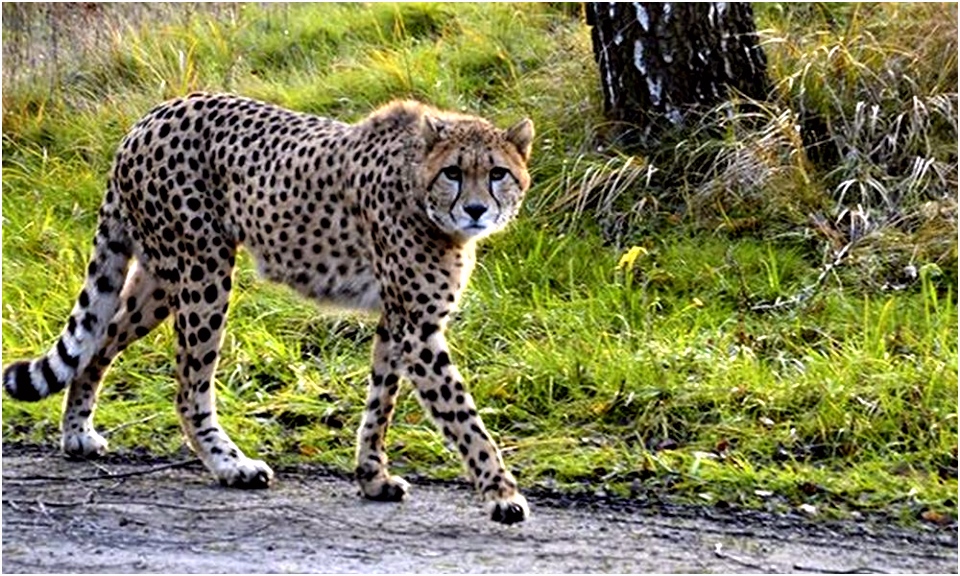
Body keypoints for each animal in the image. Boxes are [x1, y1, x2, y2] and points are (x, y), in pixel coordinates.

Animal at [3, 92, 534, 524]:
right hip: (203, 270)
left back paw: (76, 434)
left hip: (158, 278)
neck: (417, 183)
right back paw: (231, 465)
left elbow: (380, 402)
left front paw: (372, 476)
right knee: (189, 388)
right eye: (453, 173)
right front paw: (502, 494)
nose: (476, 210)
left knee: (98, 341)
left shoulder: (397, 319)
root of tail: (151, 116)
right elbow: (462, 414)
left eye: (497, 173)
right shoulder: (418, 328)